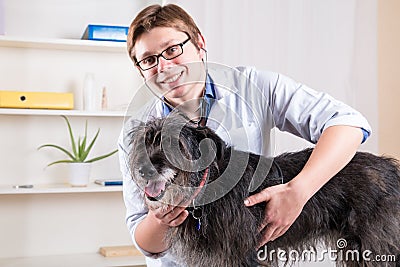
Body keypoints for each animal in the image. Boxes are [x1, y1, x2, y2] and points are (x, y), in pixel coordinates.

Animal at [128, 115, 400, 267]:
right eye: (145, 141)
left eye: (173, 143)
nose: (143, 170)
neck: (207, 184)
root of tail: (391, 168)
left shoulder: (240, 256)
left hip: (377, 248)